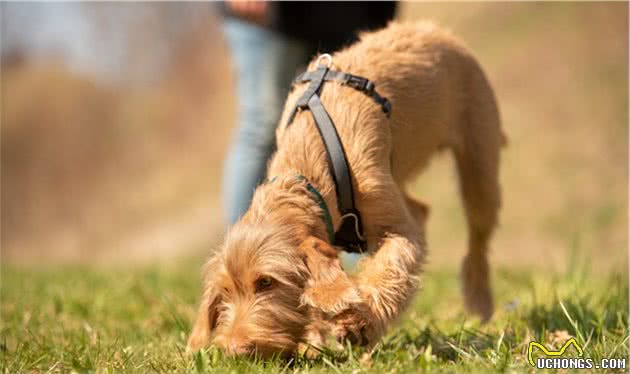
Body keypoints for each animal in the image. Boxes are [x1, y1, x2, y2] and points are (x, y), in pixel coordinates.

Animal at [186, 21, 504, 360]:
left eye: (266, 283)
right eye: (226, 291)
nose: (235, 350)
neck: (306, 173)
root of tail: (435, 29)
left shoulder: (399, 229)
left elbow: (390, 269)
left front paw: (361, 323)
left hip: (479, 160)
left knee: (477, 235)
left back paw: (480, 300)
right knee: (420, 208)